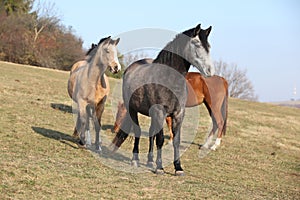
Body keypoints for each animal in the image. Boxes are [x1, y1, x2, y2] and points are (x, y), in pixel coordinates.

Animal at [111, 24, 214, 176]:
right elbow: (160, 140)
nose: (210, 71)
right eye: (196, 44)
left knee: (151, 133)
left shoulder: (178, 114)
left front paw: (178, 168)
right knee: (138, 132)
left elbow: (175, 140)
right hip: (133, 110)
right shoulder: (160, 112)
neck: (169, 79)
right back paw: (135, 160)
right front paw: (160, 167)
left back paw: (149, 161)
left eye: (208, 46)